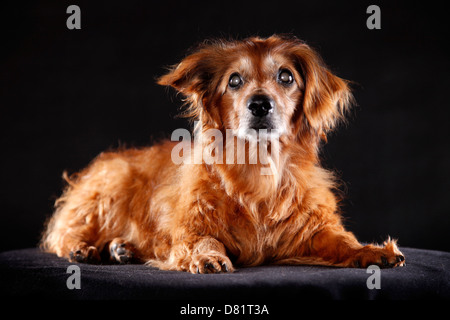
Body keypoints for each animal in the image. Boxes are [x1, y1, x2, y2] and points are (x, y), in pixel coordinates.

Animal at [41, 35, 404, 276]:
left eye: (286, 76)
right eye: (234, 81)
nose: (259, 104)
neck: (258, 166)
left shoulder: (313, 231)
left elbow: (342, 241)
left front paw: (371, 251)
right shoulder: (190, 227)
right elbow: (202, 240)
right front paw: (207, 256)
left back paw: (122, 249)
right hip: (109, 186)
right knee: (62, 232)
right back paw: (82, 247)